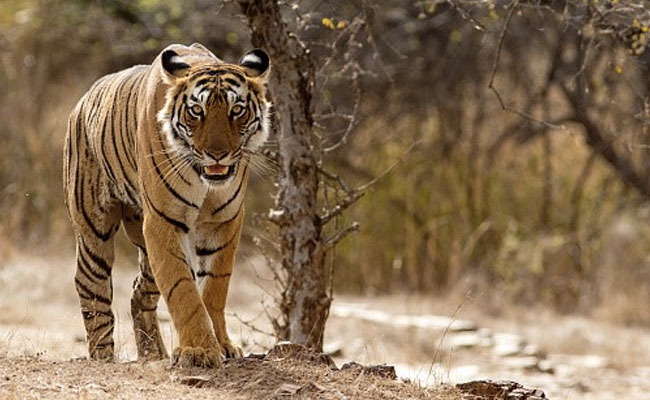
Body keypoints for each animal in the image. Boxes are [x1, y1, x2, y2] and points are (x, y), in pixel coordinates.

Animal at [63, 43, 271, 368]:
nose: (217, 155)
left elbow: (214, 287)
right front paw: (199, 350)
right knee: (91, 288)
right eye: (197, 111)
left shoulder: (224, 221)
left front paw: (222, 345)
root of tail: (83, 100)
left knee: (139, 293)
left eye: (236, 110)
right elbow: (182, 288)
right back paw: (103, 357)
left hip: (145, 250)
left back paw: (152, 354)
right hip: (94, 230)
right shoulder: (163, 222)